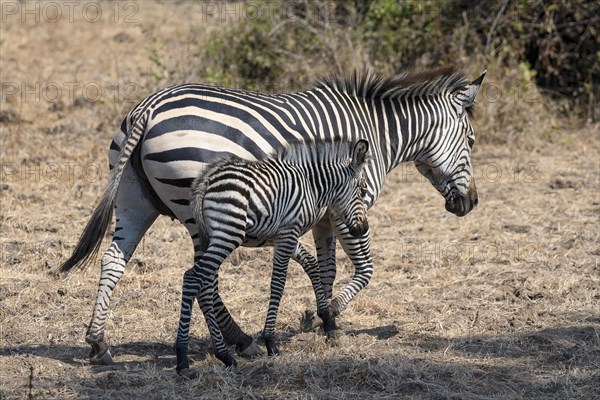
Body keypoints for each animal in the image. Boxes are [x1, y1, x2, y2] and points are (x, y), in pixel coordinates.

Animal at [176, 139, 368, 374]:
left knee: (204, 285)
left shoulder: (284, 235)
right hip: (228, 232)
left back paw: (224, 356)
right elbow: (278, 283)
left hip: (210, 236)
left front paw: (327, 320)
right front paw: (270, 341)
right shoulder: (289, 231)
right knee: (193, 277)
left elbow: (312, 265)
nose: (363, 229)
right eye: (362, 190)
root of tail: (207, 179)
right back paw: (183, 358)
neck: (312, 186)